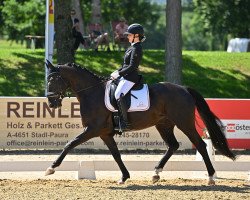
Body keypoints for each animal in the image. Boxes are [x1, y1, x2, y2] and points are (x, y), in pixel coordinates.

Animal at [45, 61, 236, 184]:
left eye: (52, 80)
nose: (51, 103)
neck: (92, 93)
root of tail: (184, 89)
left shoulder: (92, 129)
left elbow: (70, 144)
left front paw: (51, 168)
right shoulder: (105, 133)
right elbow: (116, 155)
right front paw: (124, 177)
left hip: (184, 123)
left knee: (200, 145)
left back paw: (211, 177)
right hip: (164, 124)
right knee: (173, 145)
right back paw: (156, 173)